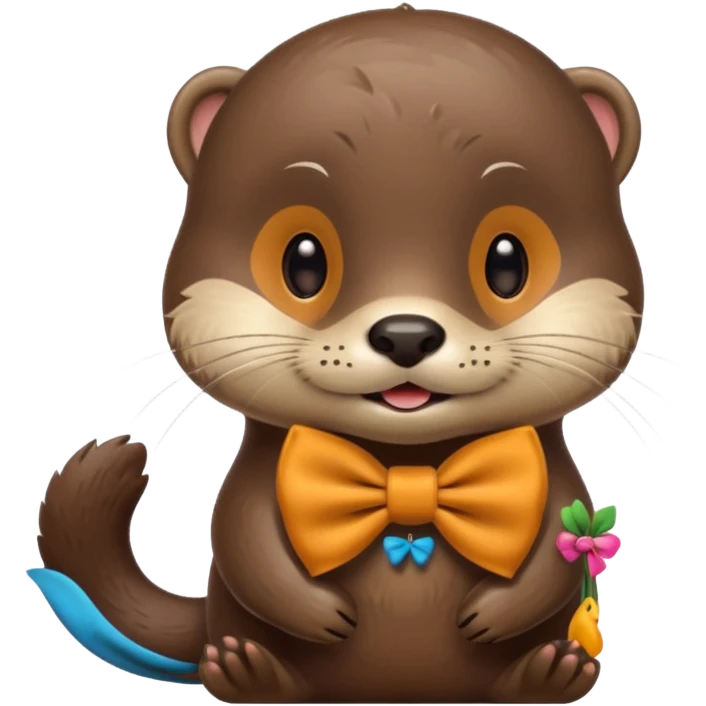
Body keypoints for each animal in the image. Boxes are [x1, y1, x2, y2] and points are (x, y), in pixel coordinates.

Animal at [29, 5, 642, 704]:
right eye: (304, 261)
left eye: (507, 262)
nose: (406, 334)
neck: (408, 465)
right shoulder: (257, 478)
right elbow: (241, 535)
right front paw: (317, 613)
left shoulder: (550, 469)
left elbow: (549, 554)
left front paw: (497, 611)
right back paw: (247, 670)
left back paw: (548, 671)